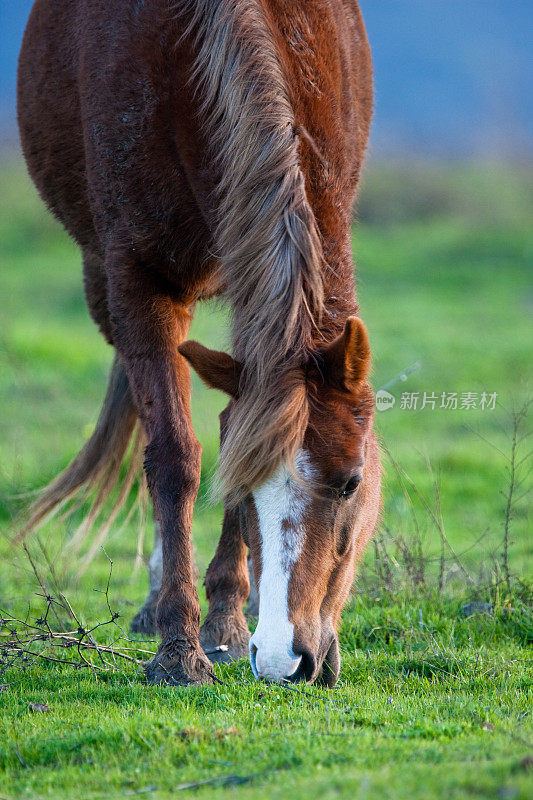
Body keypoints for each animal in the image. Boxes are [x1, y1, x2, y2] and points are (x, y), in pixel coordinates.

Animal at [16, 1, 380, 688]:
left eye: (351, 483)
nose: (286, 660)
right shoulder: (137, 277)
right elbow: (174, 456)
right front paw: (180, 648)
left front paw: (225, 623)